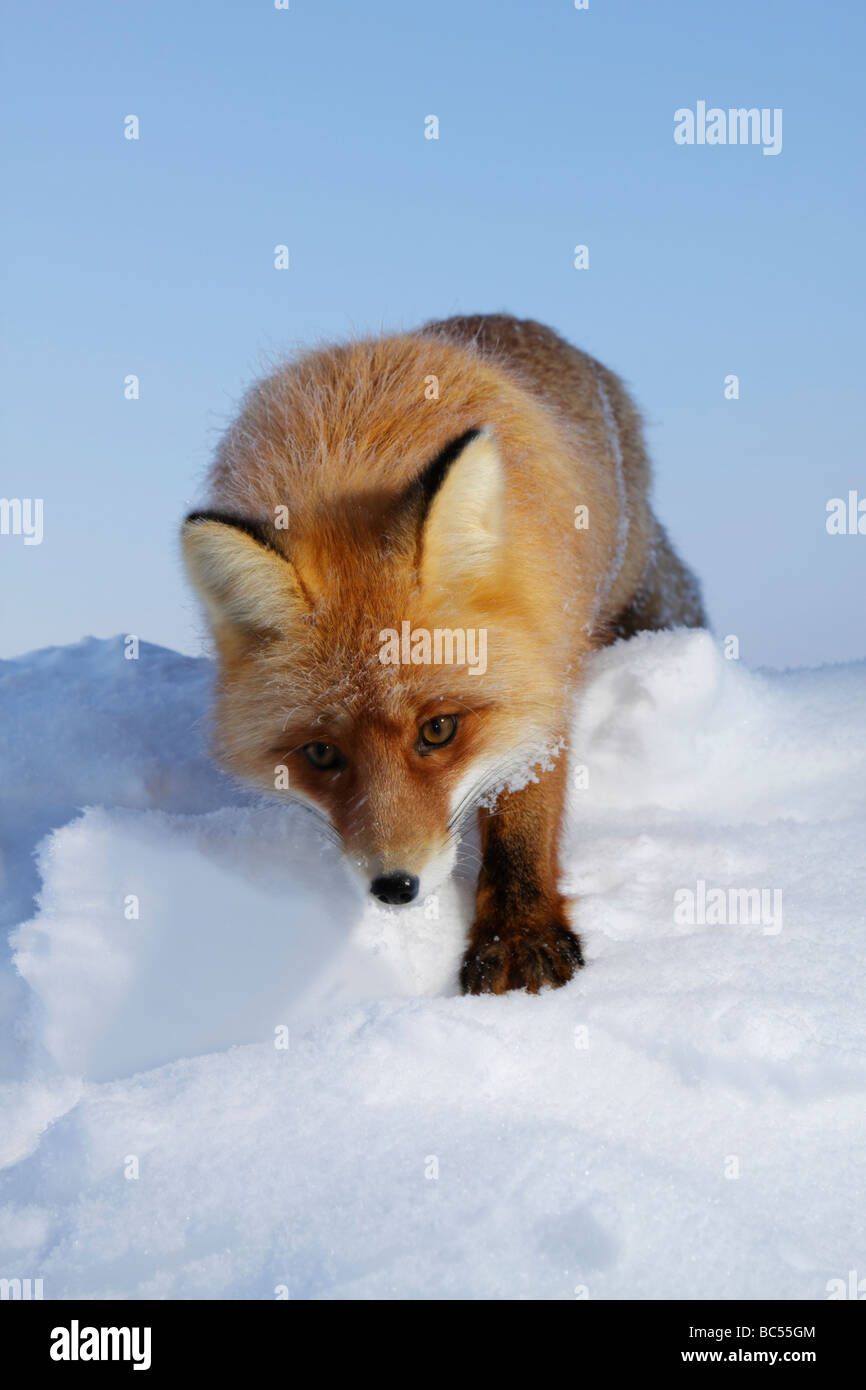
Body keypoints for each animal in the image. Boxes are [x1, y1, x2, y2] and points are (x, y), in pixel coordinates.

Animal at [183, 312, 706, 989]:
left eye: (438, 730)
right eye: (321, 753)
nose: (395, 888)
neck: (351, 449)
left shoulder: (541, 661)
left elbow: (523, 814)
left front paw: (519, 933)